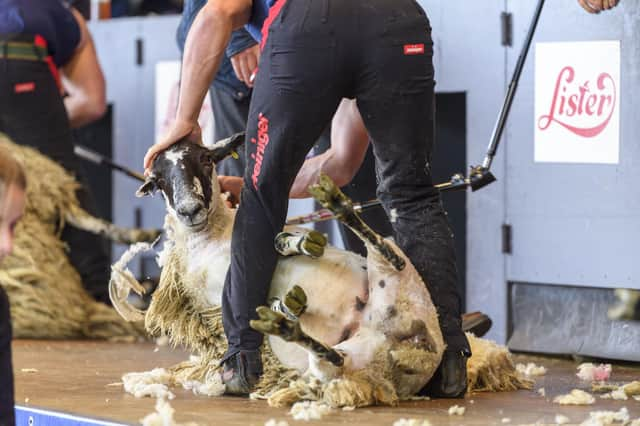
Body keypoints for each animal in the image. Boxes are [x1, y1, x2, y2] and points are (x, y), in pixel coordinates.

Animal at [114, 136, 528, 406]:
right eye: (159, 179)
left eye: (204, 159)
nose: (189, 210)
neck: (213, 235)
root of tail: (405, 356)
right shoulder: (214, 295)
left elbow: (280, 238)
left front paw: (296, 244)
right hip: (347, 358)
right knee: (332, 355)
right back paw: (284, 319)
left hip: (398, 287)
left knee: (383, 251)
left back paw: (336, 209)